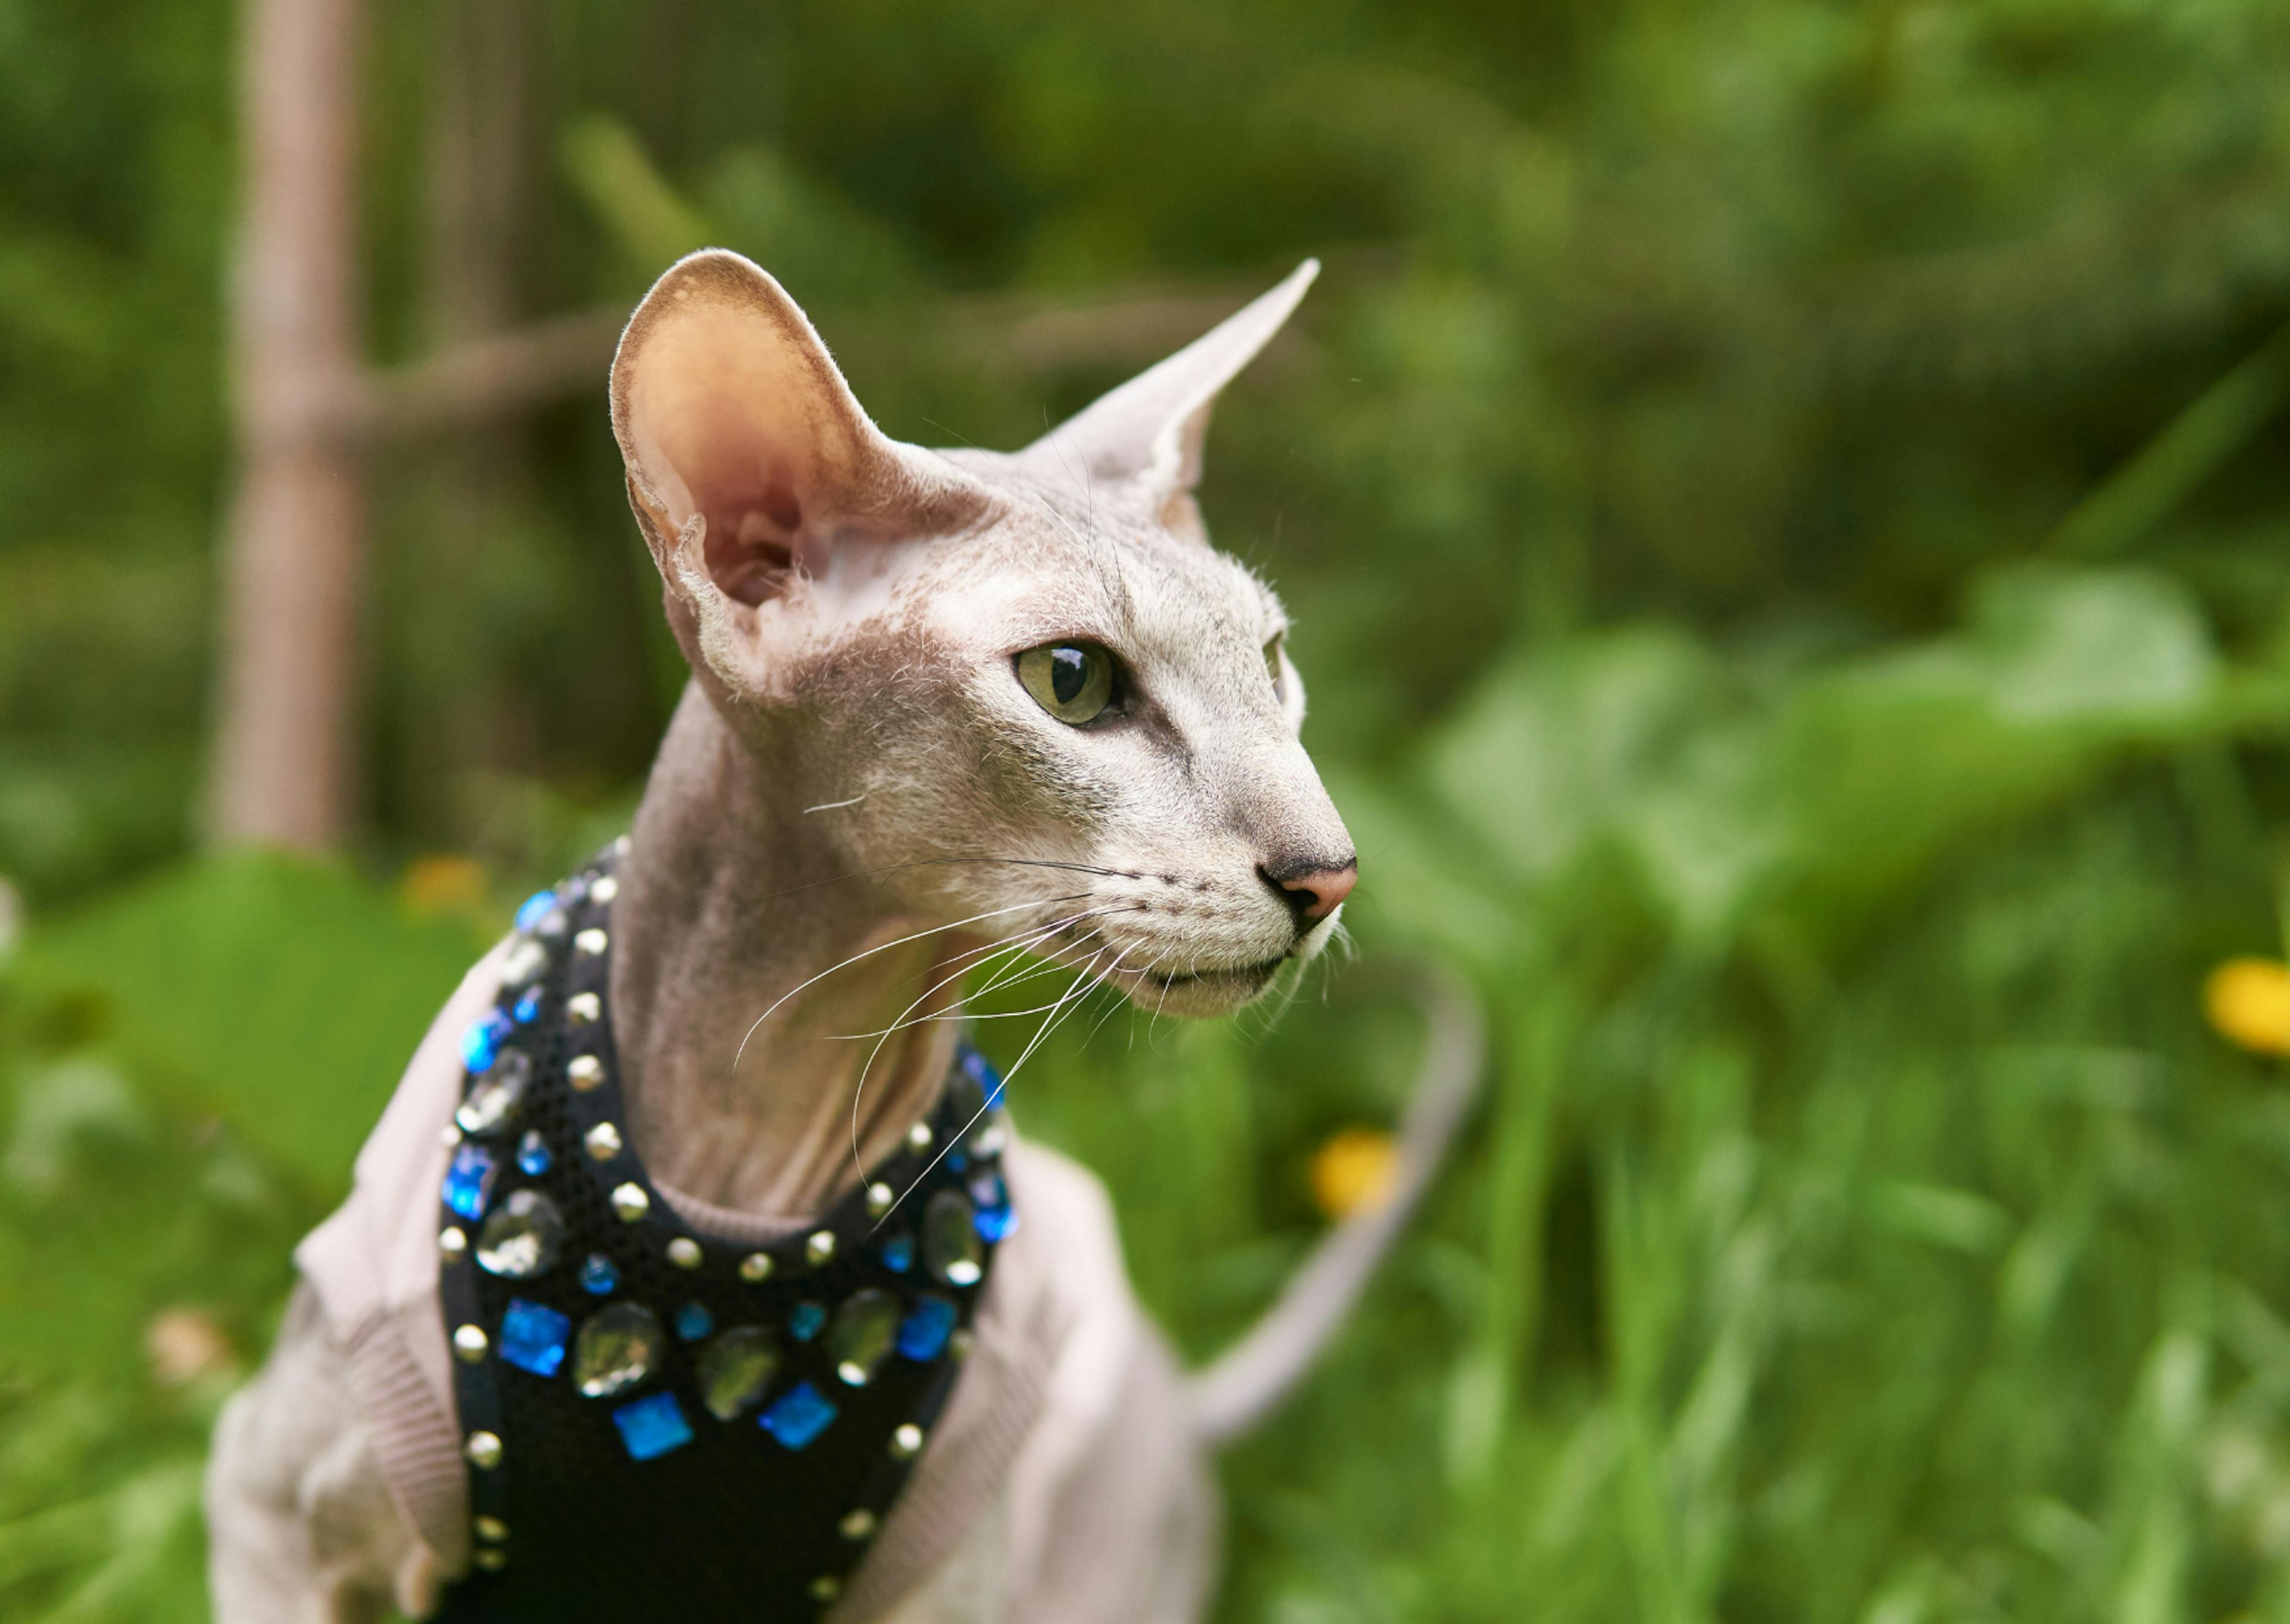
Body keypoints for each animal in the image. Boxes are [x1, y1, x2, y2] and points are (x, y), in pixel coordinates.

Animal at [206, 249, 1474, 1622]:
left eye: (1274, 662)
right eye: (1073, 679)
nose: (1331, 873)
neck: (756, 1148)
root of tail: (1175, 1399)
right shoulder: (266, 1509)